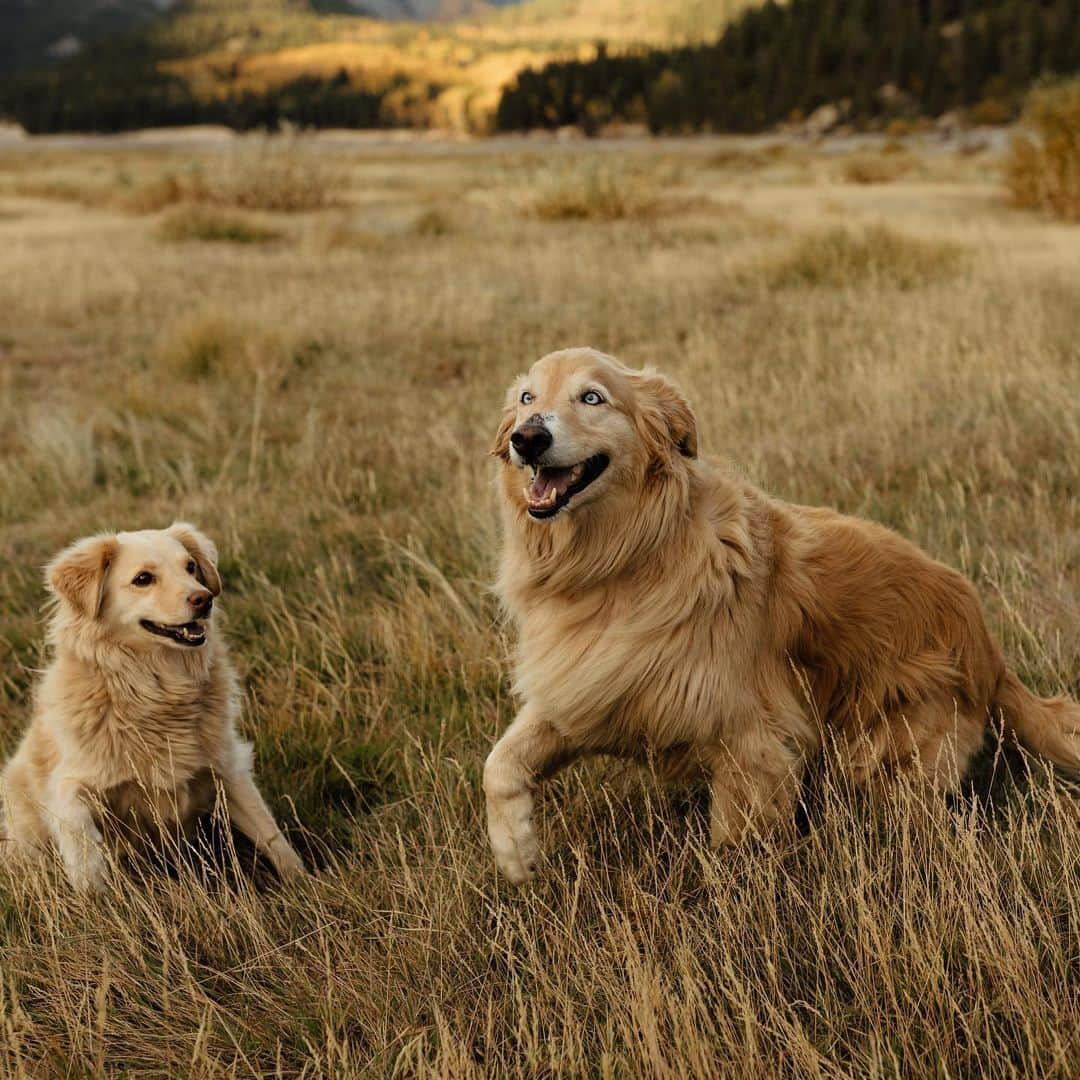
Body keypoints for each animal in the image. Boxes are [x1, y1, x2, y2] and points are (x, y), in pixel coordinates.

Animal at [1, 524, 304, 894]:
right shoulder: (68, 780)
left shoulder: (227, 767)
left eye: (190, 567)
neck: (157, 688)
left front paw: (304, 882)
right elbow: (77, 827)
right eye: (143, 579)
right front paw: (95, 892)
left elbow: (271, 834)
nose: (204, 599)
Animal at [483, 349, 1080, 881]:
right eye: (527, 398)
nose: (527, 437)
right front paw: (517, 854)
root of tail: (991, 656)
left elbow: (733, 854)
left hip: (881, 751)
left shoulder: (750, 740)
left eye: (593, 397)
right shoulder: (588, 685)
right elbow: (499, 765)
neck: (623, 558)